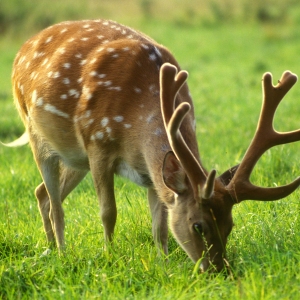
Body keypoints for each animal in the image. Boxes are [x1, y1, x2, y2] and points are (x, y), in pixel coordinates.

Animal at [5, 18, 300, 272]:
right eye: (198, 226)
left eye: (230, 225)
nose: (219, 270)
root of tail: (23, 47)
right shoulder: (98, 143)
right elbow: (108, 212)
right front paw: (109, 256)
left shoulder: (150, 172)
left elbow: (160, 227)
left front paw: (164, 265)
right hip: (37, 135)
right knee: (56, 204)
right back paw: (61, 253)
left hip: (75, 159)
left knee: (41, 193)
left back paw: (49, 248)